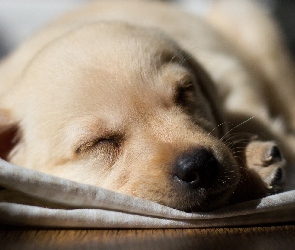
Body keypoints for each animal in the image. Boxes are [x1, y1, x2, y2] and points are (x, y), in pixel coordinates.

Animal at [0, 0, 295, 211]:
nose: (199, 165)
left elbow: (248, 117)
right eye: (97, 143)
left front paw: (252, 161)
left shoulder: (227, 71)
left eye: (185, 93)